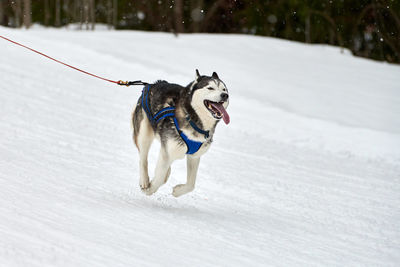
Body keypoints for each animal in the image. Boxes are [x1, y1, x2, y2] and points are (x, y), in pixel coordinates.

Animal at [133, 70, 230, 198]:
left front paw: (177, 191)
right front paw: (149, 190)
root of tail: (153, 84)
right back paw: (144, 181)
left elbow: (191, 185)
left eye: (224, 89)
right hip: (144, 134)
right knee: (143, 158)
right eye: (210, 88)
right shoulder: (168, 151)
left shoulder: (194, 156)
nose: (225, 95)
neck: (194, 120)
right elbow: (158, 178)